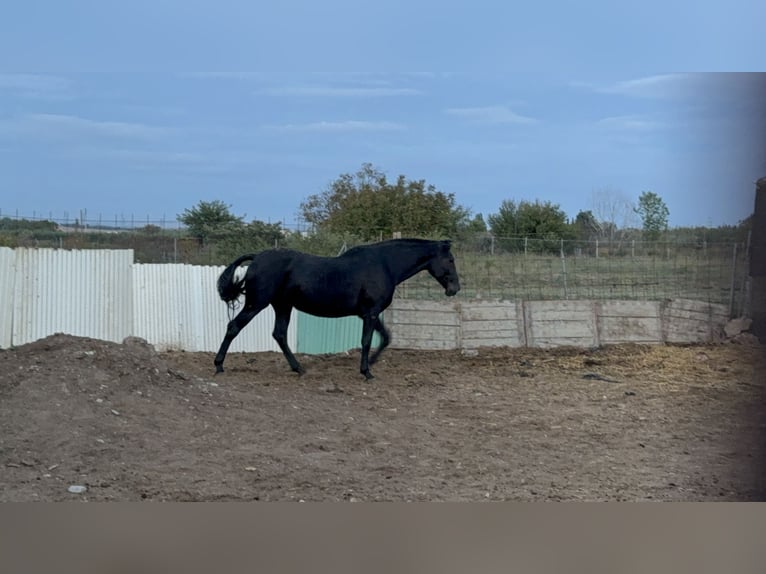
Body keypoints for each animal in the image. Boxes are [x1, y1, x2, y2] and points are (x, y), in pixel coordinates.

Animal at [213, 236, 460, 380]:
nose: (455, 288)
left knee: (279, 334)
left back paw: (299, 369)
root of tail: (256, 258)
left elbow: (385, 337)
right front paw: (367, 372)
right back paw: (219, 365)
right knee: (234, 327)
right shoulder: (370, 313)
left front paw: (370, 364)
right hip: (257, 304)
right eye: (450, 260)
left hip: (283, 306)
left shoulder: (369, 313)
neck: (384, 265)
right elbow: (367, 341)